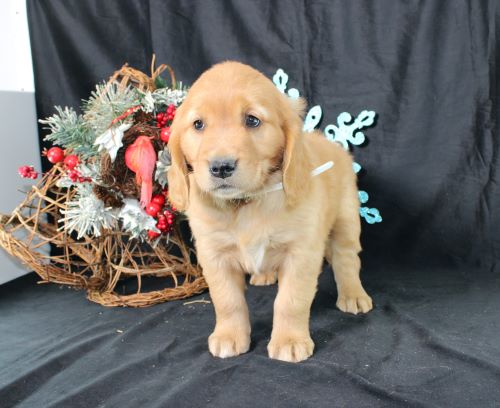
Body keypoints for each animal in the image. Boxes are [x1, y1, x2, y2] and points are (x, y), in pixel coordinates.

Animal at [167, 61, 372, 364]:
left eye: (252, 120)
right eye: (198, 124)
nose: (221, 167)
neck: (246, 203)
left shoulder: (301, 252)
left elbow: (290, 301)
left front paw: (290, 341)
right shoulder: (213, 254)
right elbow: (227, 300)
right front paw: (229, 336)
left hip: (346, 218)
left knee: (347, 259)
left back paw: (353, 294)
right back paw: (264, 276)